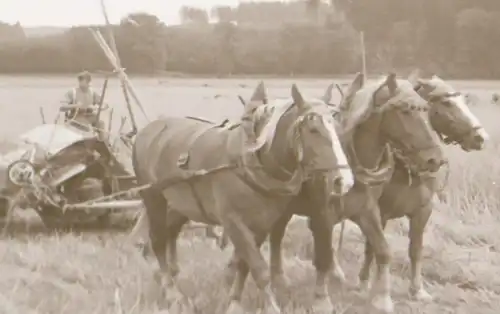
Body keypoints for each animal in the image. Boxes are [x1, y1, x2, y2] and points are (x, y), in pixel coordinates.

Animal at [131, 82, 354, 312]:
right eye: (313, 130)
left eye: (337, 129)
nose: (343, 180)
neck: (251, 162)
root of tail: (147, 130)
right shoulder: (233, 222)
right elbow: (258, 268)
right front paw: (270, 306)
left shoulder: (261, 224)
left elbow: (244, 264)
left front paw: (234, 301)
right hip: (153, 197)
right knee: (157, 239)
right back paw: (171, 290)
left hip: (180, 204)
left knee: (170, 232)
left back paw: (172, 275)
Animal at [225, 72, 448, 312]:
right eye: (405, 110)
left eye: (426, 109)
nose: (436, 159)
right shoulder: (323, 214)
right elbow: (322, 257)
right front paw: (321, 299)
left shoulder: (368, 211)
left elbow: (383, 249)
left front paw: (382, 298)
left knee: (276, 238)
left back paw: (279, 279)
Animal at [358, 71, 490, 302]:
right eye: (446, 102)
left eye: (464, 100)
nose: (480, 137)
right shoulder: (377, 210)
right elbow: (373, 246)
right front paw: (368, 283)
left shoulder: (423, 210)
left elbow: (416, 249)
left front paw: (417, 290)